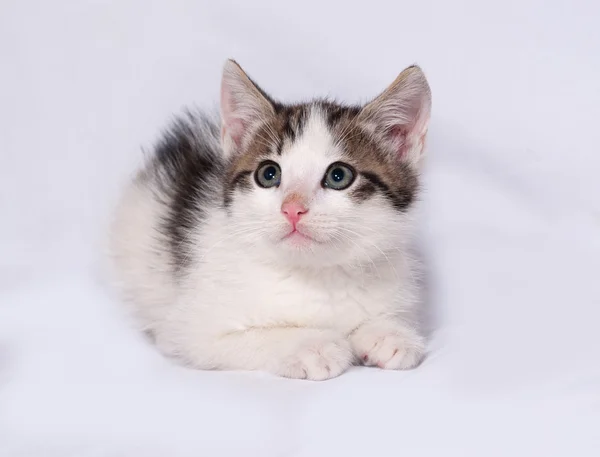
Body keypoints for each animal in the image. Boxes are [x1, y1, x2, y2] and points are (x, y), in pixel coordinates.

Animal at [109, 58, 432, 380]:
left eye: (339, 176)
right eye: (268, 174)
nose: (293, 208)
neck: (313, 276)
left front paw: (389, 334)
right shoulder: (189, 330)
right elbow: (250, 337)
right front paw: (312, 345)